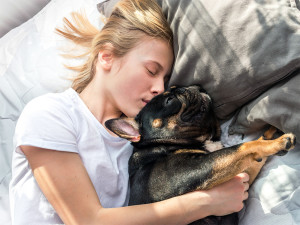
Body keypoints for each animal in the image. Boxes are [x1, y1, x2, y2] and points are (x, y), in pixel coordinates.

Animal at [105, 85, 296, 224]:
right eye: (169, 100)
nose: (193, 86)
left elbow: (253, 153)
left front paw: (270, 133)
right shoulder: (199, 168)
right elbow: (242, 147)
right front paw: (278, 142)